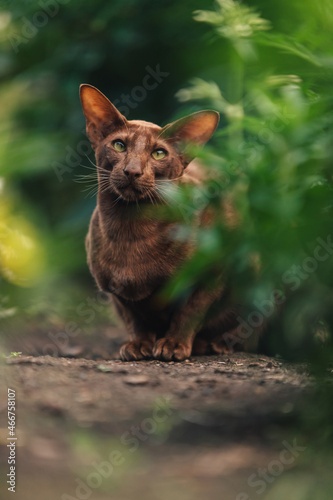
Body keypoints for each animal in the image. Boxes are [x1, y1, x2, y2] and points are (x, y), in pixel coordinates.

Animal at [80, 84, 246, 362]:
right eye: (119, 146)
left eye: (158, 153)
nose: (132, 171)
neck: (131, 230)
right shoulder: (115, 291)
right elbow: (135, 318)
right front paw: (138, 345)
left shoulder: (212, 274)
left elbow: (190, 312)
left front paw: (174, 345)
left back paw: (218, 344)